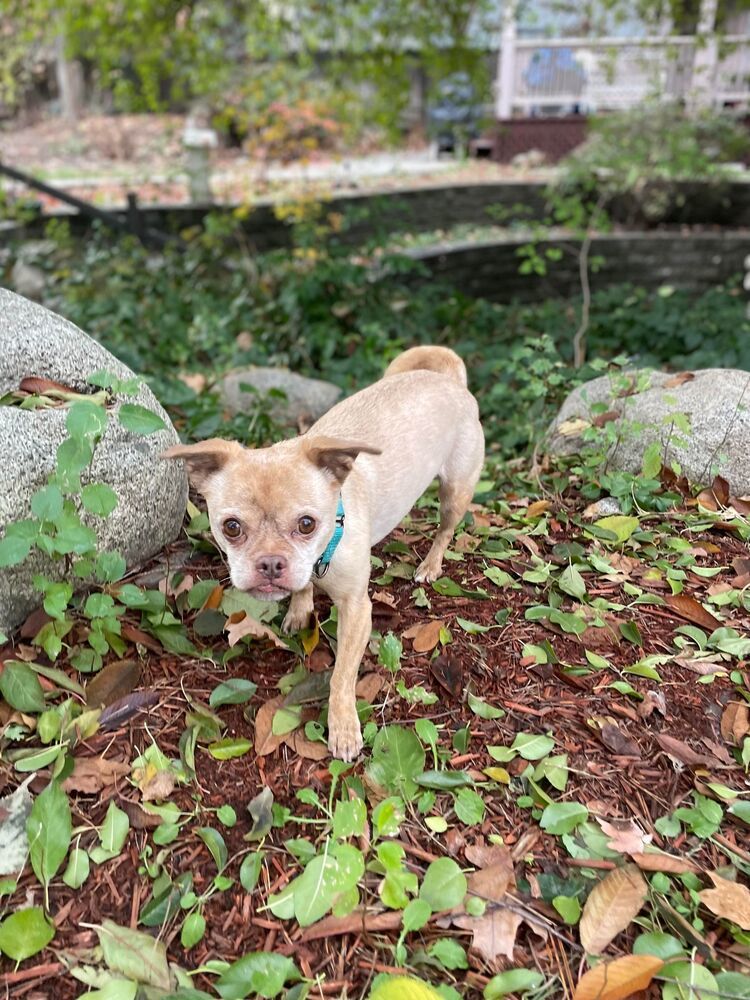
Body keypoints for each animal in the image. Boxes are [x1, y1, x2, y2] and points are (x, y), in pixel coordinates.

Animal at [162, 348, 484, 760]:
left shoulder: (357, 611)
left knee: (445, 529)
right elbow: (302, 588)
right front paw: (300, 610)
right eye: (231, 527)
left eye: (306, 525)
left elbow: (341, 676)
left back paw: (430, 564)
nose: (270, 563)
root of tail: (448, 379)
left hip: (455, 492)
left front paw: (343, 726)